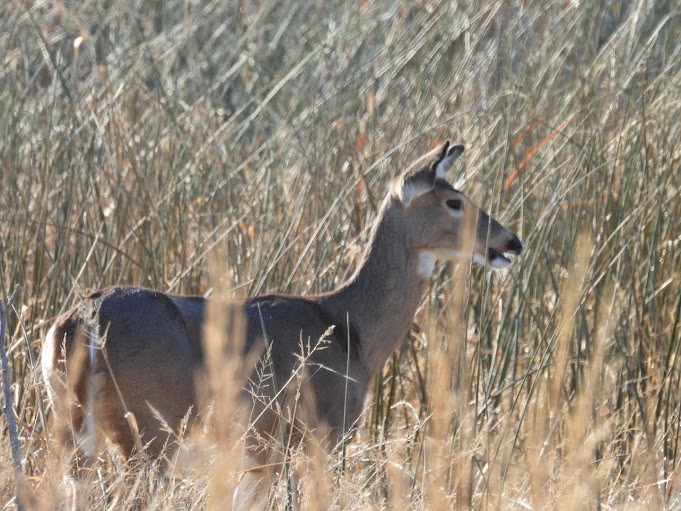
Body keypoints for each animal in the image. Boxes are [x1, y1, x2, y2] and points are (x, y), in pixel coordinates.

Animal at [41, 141, 522, 509]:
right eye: (454, 201)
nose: (511, 241)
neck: (350, 330)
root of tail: (82, 321)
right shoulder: (318, 438)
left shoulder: (259, 459)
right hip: (150, 432)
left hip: (74, 431)